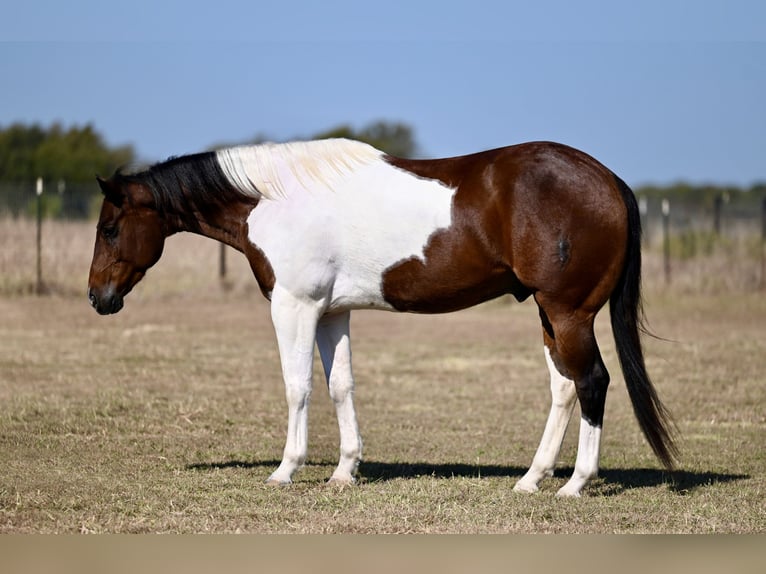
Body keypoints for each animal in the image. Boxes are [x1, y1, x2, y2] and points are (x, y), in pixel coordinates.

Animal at [87, 137, 680, 498]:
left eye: (111, 229)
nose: (98, 297)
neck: (274, 199)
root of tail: (608, 180)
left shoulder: (294, 306)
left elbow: (298, 386)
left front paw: (286, 470)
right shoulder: (332, 313)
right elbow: (340, 386)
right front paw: (344, 471)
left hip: (569, 312)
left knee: (593, 382)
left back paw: (575, 483)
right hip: (547, 313)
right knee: (563, 387)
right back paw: (531, 479)